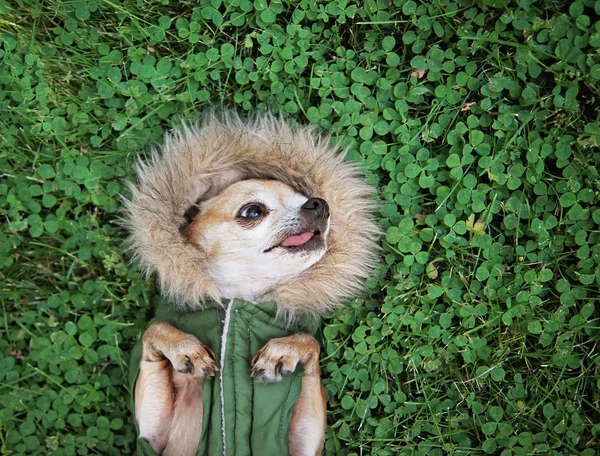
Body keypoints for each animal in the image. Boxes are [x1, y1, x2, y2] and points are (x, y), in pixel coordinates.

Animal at [125, 113, 380, 456]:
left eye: (307, 200)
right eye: (252, 211)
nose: (319, 204)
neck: (237, 298)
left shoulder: (305, 441)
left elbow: (310, 343)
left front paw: (281, 353)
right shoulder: (152, 437)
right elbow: (154, 329)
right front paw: (187, 350)